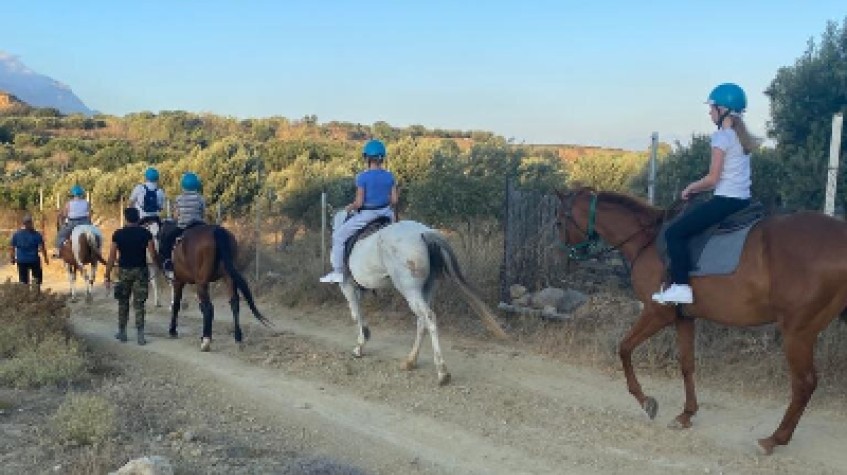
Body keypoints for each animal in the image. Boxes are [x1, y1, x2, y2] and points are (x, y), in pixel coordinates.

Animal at [164, 221, 270, 352]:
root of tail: (217, 231)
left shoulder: (178, 282)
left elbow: (176, 305)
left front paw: (173, 331)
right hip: (228, 277)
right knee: (234, 303)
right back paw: (238, 338)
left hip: (201, 282)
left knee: (208, 307)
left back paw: (206, 341)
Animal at [328, 212, 506, 386]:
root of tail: (424, 233)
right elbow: (359, 312)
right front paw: (364, 338)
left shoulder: (347, 287)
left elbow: (355, 314)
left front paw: (360, 346)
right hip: (427, 287)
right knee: (422, 321)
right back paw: (410, 361)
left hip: (410, 290)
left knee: (429, 317)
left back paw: (442, 372)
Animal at [560, 187, 847, 458]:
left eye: (560, 219)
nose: (566, 258)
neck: (647, 241)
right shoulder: (684, 318)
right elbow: (687, 365)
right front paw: (686, 415)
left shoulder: (657, 313)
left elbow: (624, 348)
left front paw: (646, 402)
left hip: (797, 332)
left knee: (804, 384)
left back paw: (774, 439)